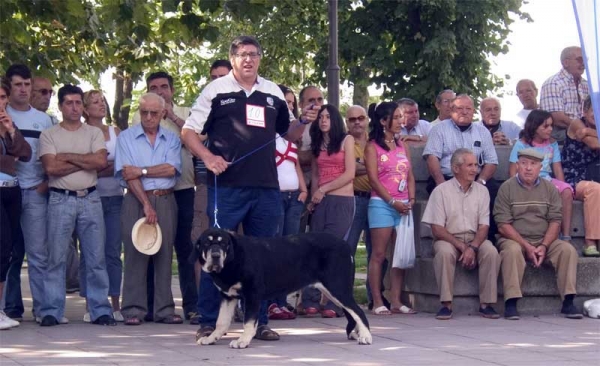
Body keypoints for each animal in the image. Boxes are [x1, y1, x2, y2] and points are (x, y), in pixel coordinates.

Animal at [193, 226, 370, 348]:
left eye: (223, 244)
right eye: (207, 243)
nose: (216, 256)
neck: (233, 259)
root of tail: (345, 245)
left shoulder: (252, 295)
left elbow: (248, 322)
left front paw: (243, 340)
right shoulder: (228, 296)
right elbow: (221, 322)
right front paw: (211, 338)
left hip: (337, 287)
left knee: (358, 312)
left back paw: (366, 337)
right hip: (332, 290)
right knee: (352, 313)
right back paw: (357, 334)